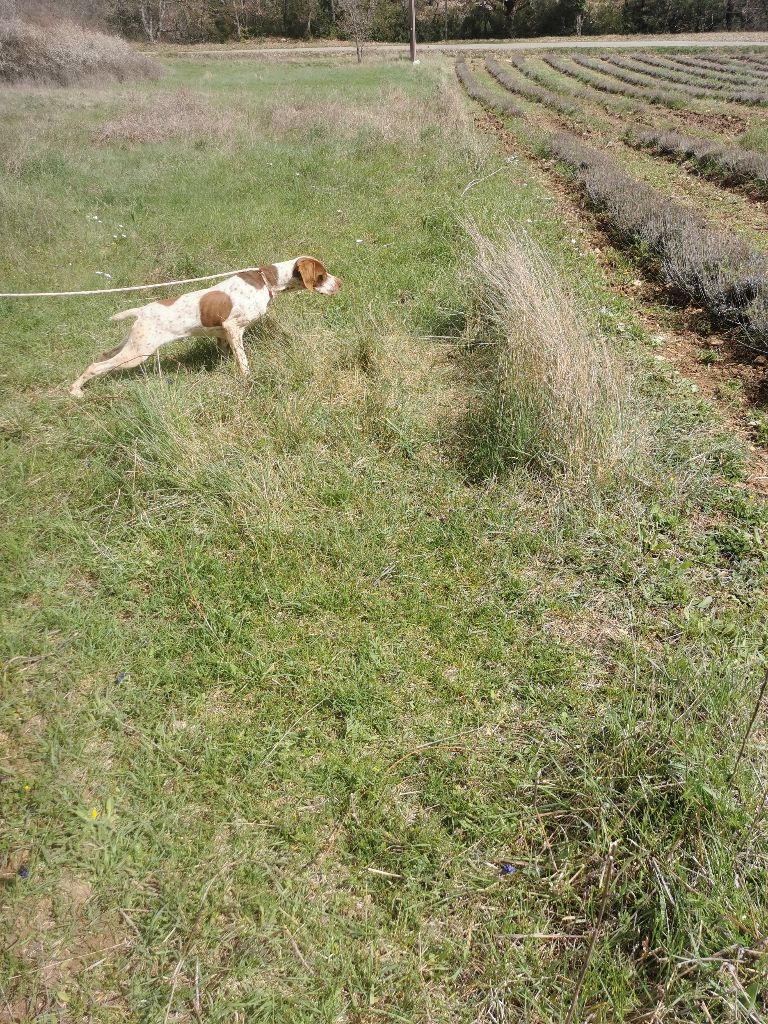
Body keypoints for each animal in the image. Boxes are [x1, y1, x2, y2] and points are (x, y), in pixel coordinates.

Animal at [71, 254, 342, 395]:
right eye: (322, 275)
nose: (340, 283)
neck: (266, 281)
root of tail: (142, 311)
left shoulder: (222, 333)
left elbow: (226, 355)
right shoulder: (233, 327)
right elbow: (243, 361)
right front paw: (248, 379)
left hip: (131, 344)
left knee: (102, 355)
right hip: (139, 353)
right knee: (96, 366)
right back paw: (75, 390)